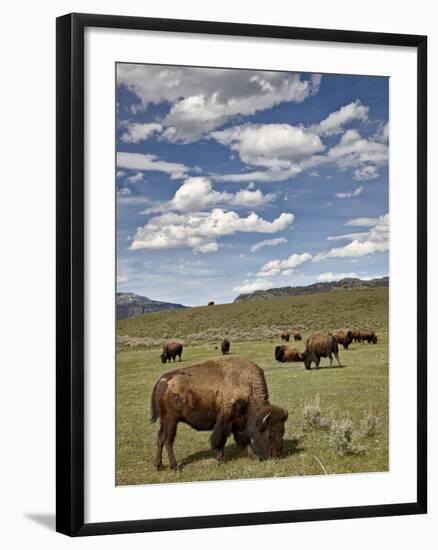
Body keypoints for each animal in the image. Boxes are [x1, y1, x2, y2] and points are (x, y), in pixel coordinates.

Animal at [150, 360, 288, 472]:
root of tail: (161, 381)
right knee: (168, 441)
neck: (248, 388)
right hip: (171, 421)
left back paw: (159, 465)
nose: (277, 455)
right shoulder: (225, 421)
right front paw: (221, 460)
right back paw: (175, 466)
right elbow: (221, 440)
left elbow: (245, 440)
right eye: (270, 434)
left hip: (164, 422)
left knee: (160, 438)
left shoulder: (239, 423)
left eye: (282, 432)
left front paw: (254, 457)